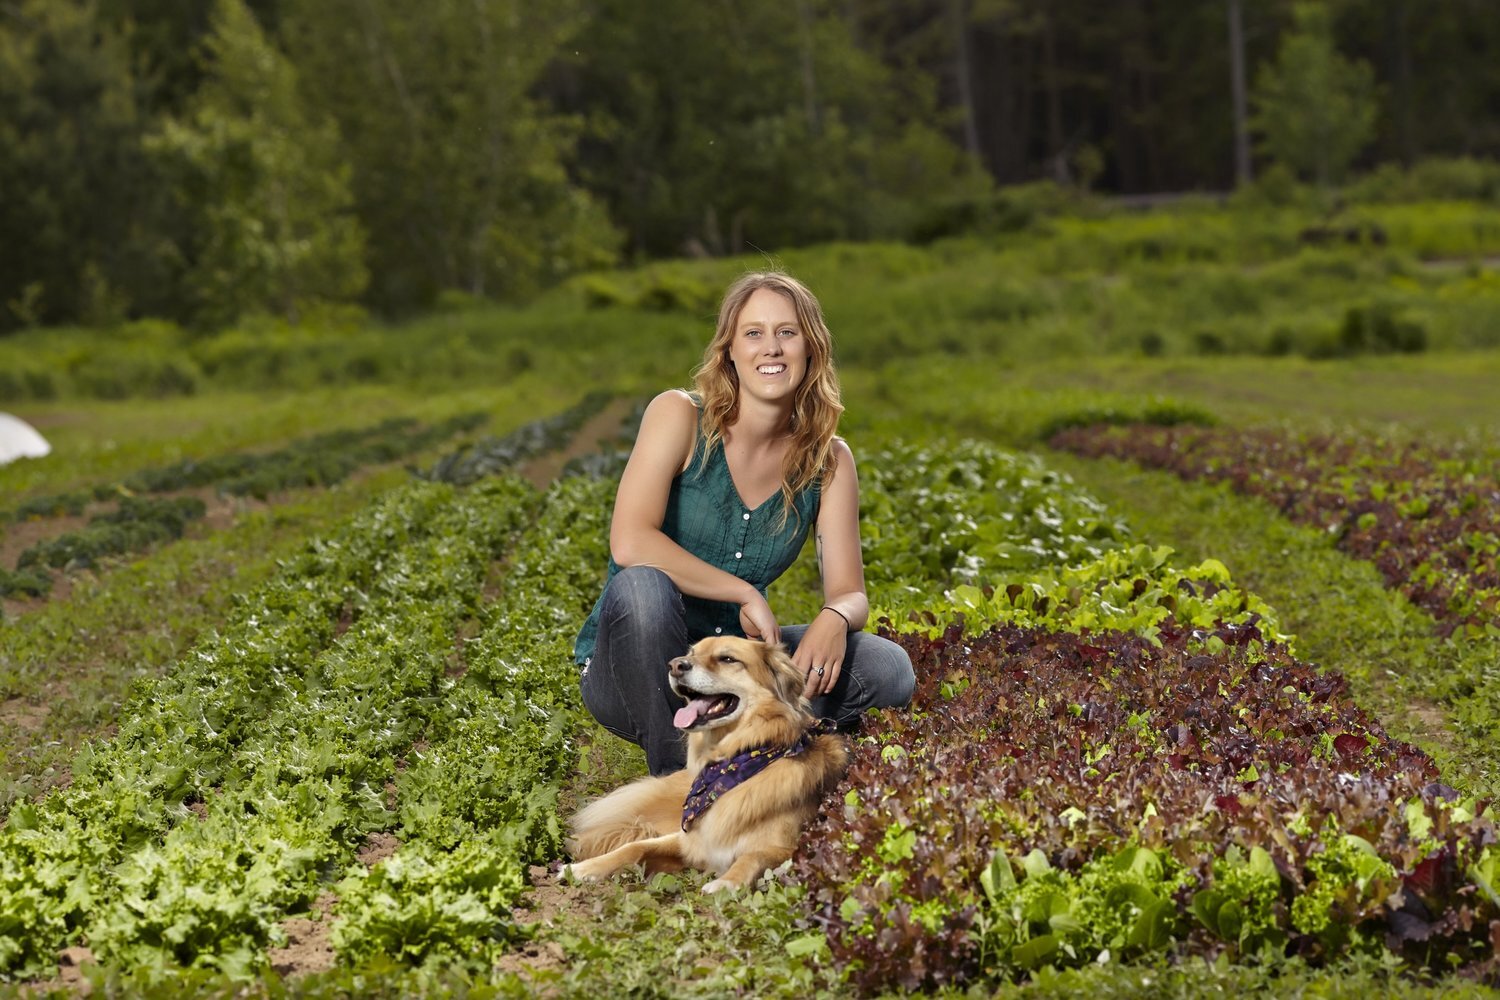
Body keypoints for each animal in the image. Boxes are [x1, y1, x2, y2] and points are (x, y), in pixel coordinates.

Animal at [564, 638, 852, 893]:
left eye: (727, 659)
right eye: (691, 653)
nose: (675, 665)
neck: (735, 761)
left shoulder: (792, 848)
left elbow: (753, 855)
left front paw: (727, 882)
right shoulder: (689, 839)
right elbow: (636, 847)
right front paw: (585, 868)